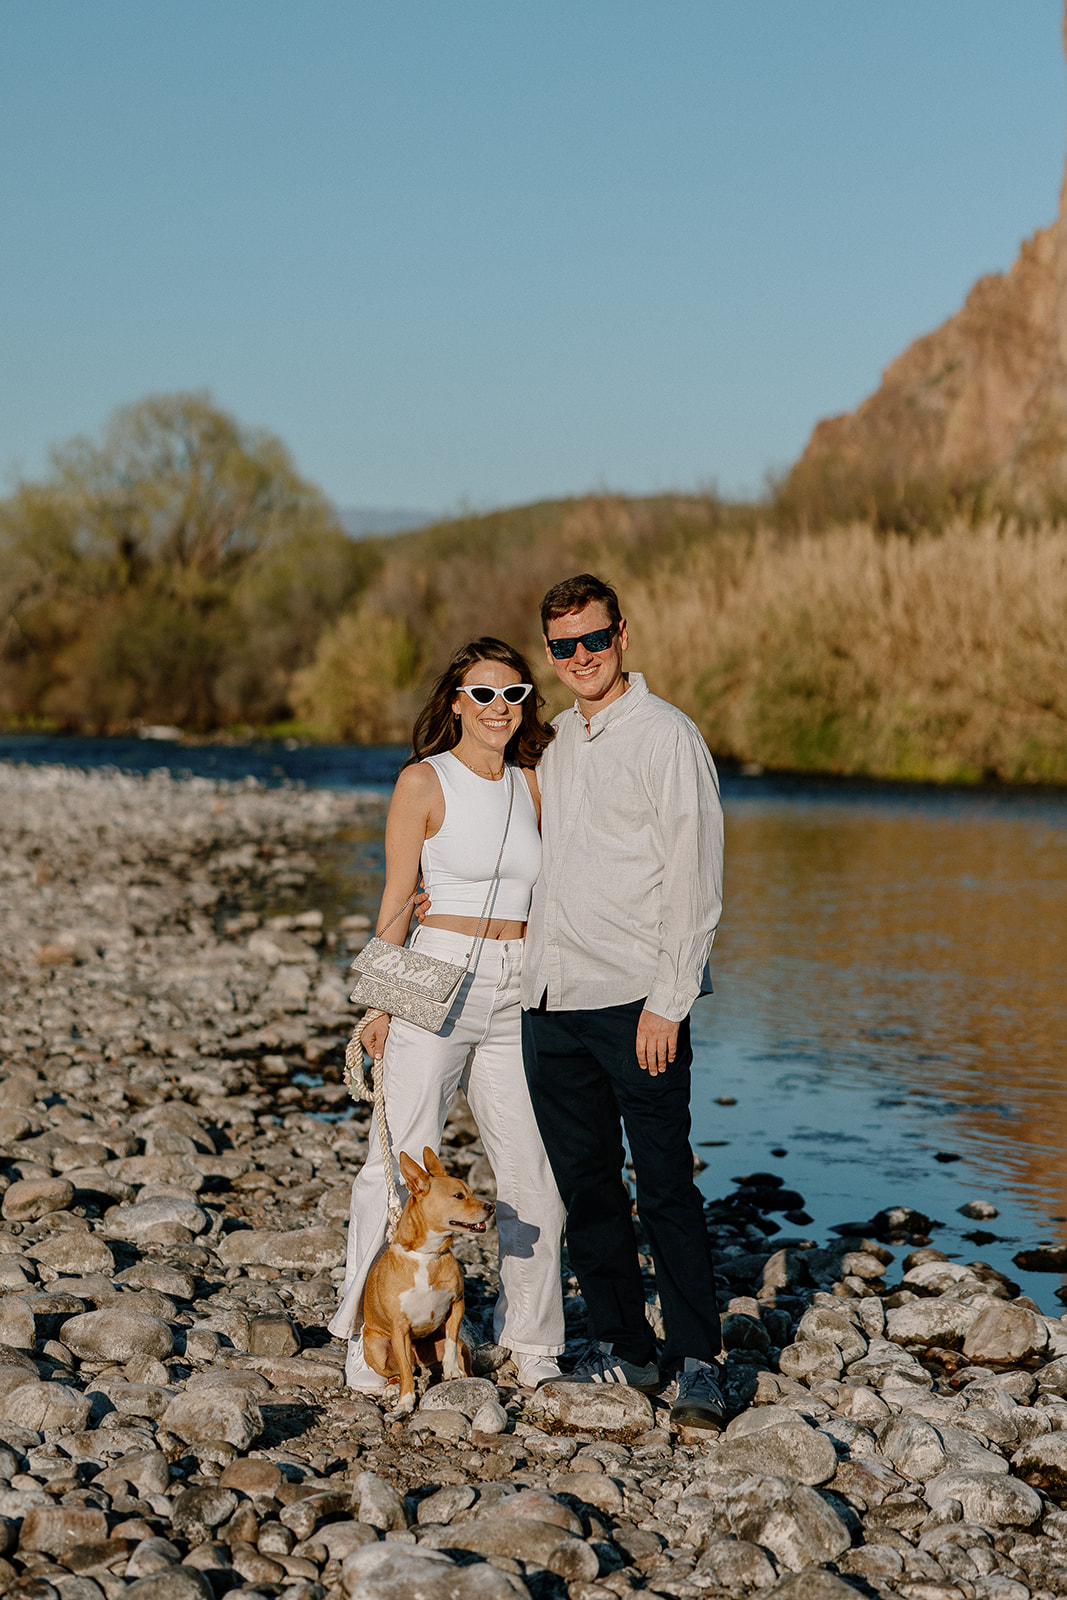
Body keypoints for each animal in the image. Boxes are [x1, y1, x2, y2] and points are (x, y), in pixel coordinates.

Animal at [358, 1145, 492, 1420]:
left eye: (472, 1192)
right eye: (459, 1196)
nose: (492, 1206)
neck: (427, 1255)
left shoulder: (457, 1305)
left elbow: (450, 1343)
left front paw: (452, 1371)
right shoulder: (400, 1329)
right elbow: (406, 1373)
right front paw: (405, 1402)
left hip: (456, 1346)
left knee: (457, 1354)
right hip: (377, 1348)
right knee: (399, 1370)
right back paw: (393, 1386)